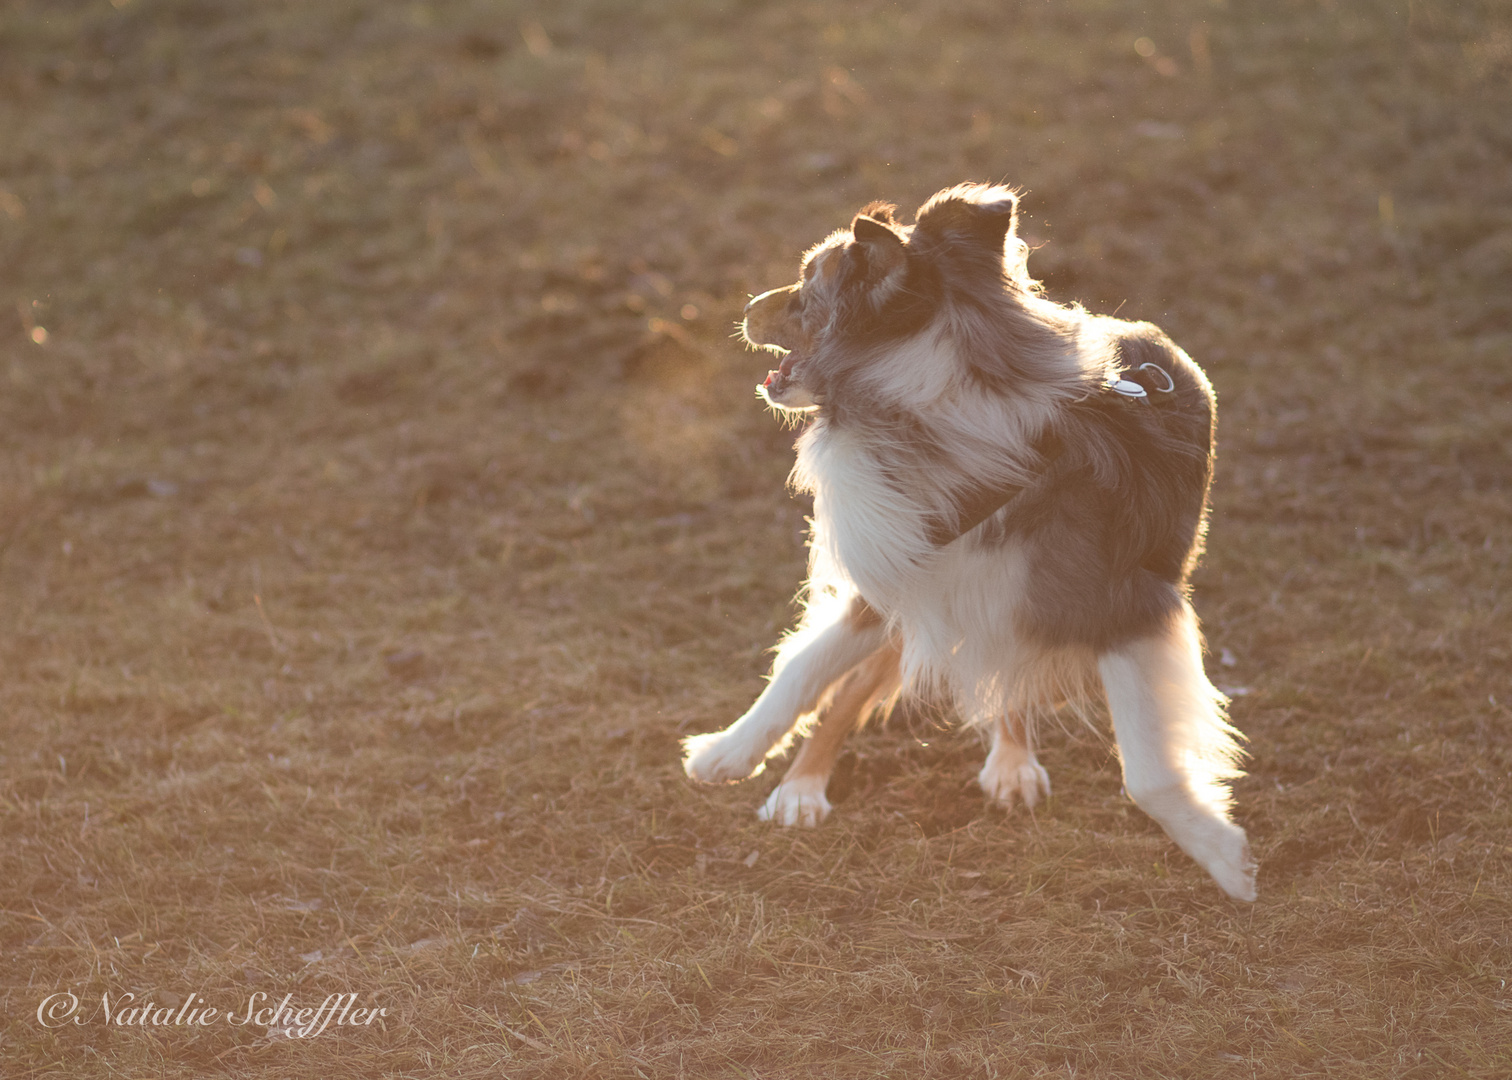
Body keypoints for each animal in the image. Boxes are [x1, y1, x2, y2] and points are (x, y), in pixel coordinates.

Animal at [683, 180, 1251, 895]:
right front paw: (726, 752)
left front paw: (1226, 858)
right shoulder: (896, 572)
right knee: (852, 687)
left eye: (808, 285)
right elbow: (803, 670)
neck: (929, 416)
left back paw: (1010, 762)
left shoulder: (1125, 605)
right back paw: (803, 789)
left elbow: (1148, 774)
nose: (746, 306)